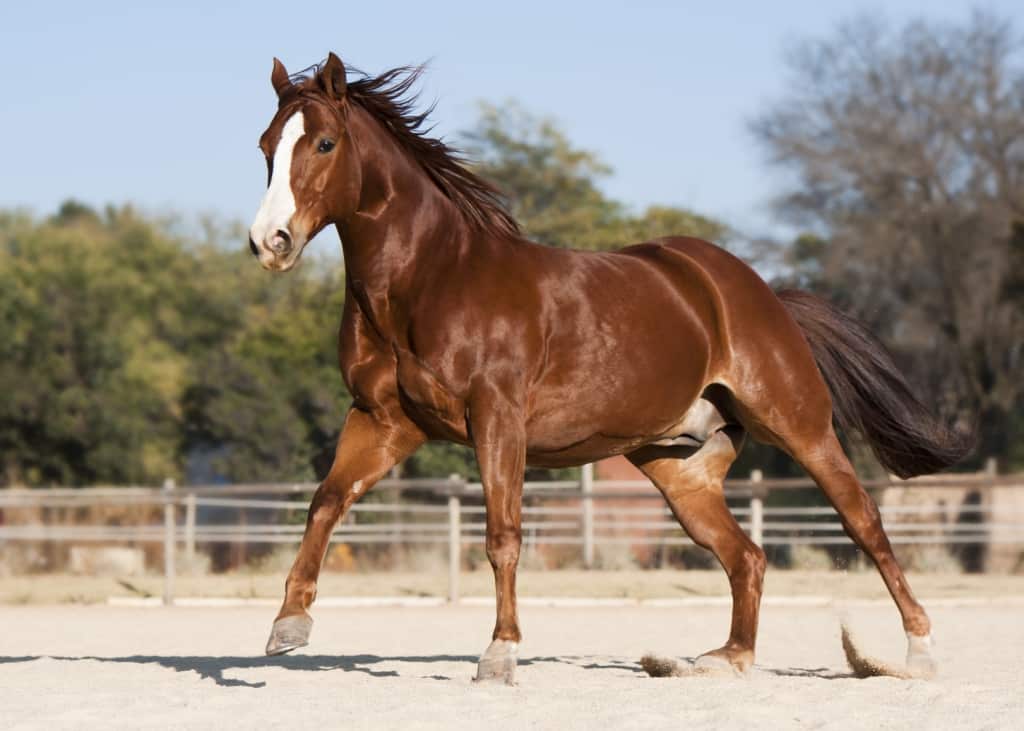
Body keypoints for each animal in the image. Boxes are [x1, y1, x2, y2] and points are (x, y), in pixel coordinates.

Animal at [245, 52, 966, 683]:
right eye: (266, 146)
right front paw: (288, 625)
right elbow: (326, 500)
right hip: (678, 469)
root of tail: (755, 292)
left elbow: (503, 534)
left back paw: (919, 653)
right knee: (748, 556)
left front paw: (500, 656)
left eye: (325, 144)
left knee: (863, 523)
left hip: (800, 426)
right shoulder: (384, 420)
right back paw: (726, 659)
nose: (269, 242)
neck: (430, 278)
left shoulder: (495, 420)